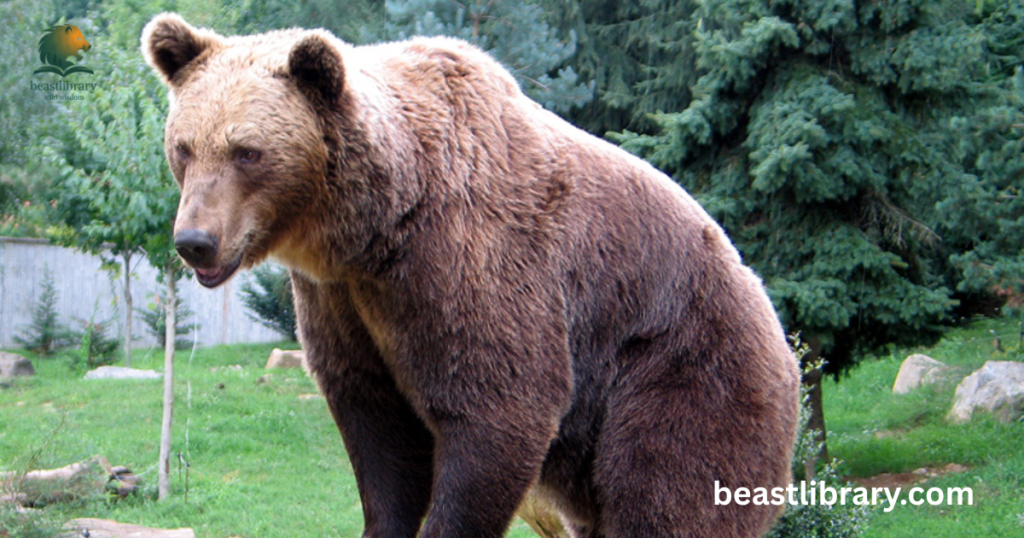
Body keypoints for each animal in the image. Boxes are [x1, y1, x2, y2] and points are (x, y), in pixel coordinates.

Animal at [142, 13, 800, 538]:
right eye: (184, 147)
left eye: (247, 152)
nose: (194, 242)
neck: (373, 228)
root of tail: (781, 336)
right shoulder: (343, 303)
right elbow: (377, 431)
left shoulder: (469, 264)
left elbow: (499, 409)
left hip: (680, 369)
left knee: (666, 492)